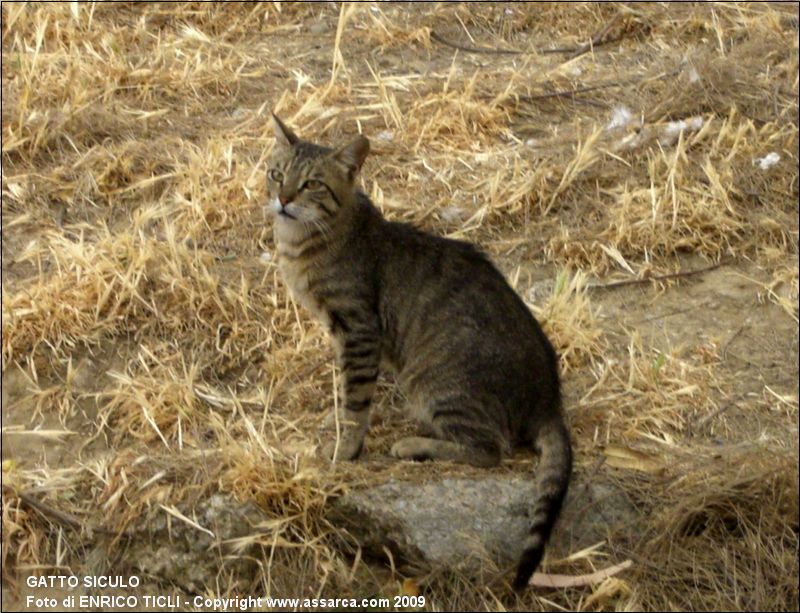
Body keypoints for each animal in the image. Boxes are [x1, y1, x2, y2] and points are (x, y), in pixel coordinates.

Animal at [266, 113, 572, 588]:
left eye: (312, 184)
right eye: (277, 174)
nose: (282, 200)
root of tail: (549, 401)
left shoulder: (358, 330)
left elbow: (355, 402)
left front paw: (345, 448)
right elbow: (347, 393)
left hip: (432, 383)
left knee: (489, 450)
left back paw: (414, 444)